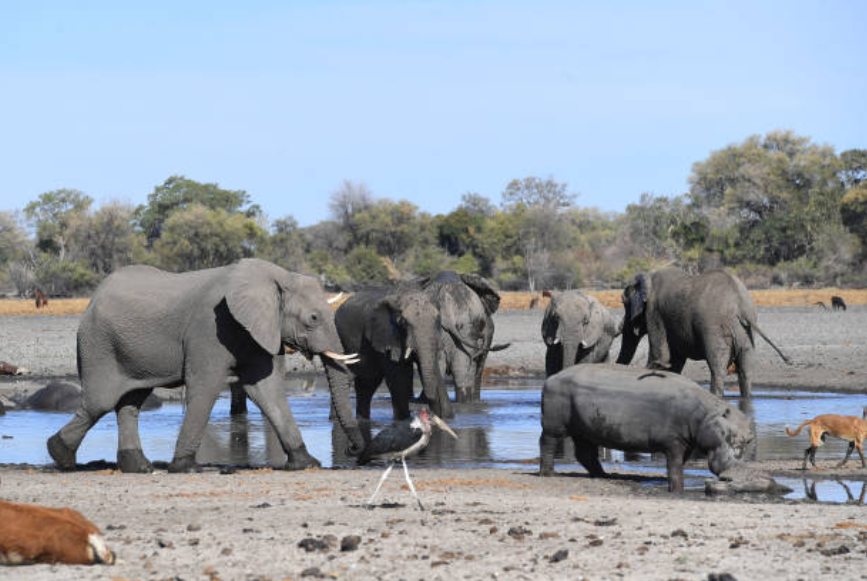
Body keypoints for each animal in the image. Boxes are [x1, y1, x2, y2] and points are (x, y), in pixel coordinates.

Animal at [47, 258, 365, 474]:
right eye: (313, 319)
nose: (353, 449)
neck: (276, 276)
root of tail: (92, 299)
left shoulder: (260, 330)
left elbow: (267, 390)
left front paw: (306, 463)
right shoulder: (210, 328)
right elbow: (206, 386)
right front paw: (185, 467)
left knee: (130, 403)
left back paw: (138, 467)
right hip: (98, 344)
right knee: (99, 402)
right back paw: (60, 456)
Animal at [335, 288, 452, 420]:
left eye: (438, 320)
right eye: (404, 322)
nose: (427, 411)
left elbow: (434, 369)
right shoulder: (386, 336)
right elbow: (398, 378)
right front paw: (404, 419)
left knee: (366, 386)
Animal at [539, 364, 756, 493]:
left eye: (749, 439)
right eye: (730, 435)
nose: (736, 468)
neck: (705, 414)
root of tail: (552, 377)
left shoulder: (686, 442)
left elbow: (679, 465)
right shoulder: (673, 442)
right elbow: (674, 467)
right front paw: (677, 490)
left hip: (584, 430)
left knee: (585, 454)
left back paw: (603, 476)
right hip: (554, 424)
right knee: (547, 444)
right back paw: (548, 473)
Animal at [616, 267, 791, 397]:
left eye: (624, 303)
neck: (648, 276)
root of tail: (740, 305)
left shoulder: (654, 312)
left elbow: (661, 357)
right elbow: (675, 362)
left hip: (714, 327)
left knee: (717, 367)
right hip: (745, 333)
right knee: (745, 370)